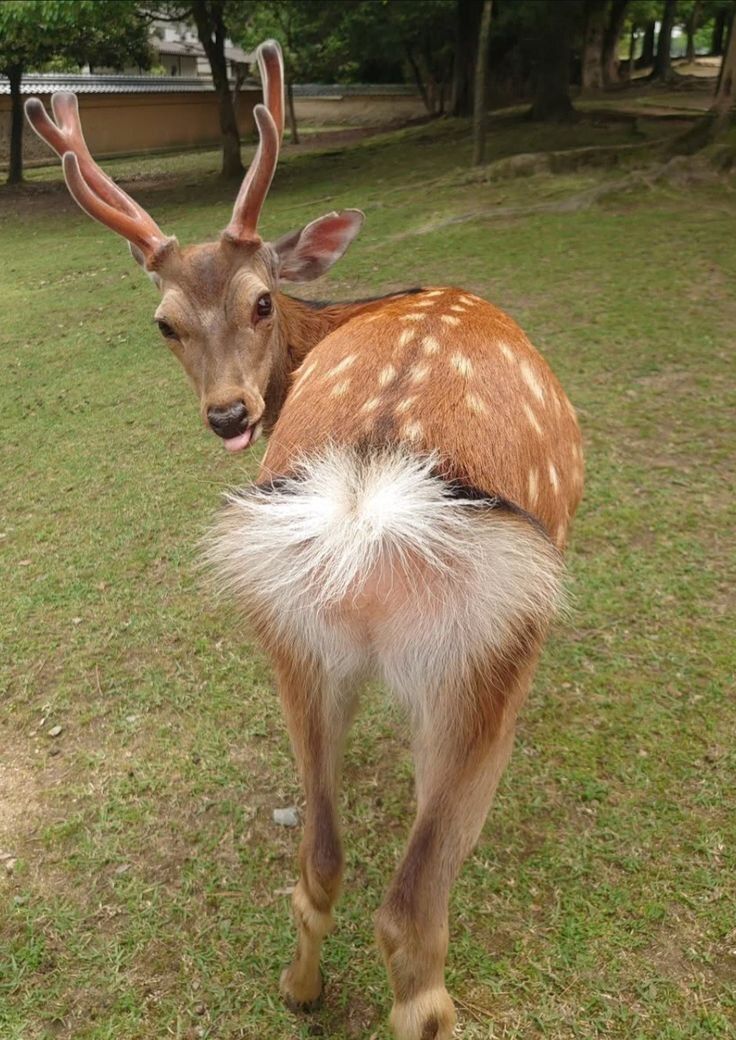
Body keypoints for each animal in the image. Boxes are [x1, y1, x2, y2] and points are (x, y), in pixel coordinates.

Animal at [26, 38, 583, 1040]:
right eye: (165, 324)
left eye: (260, 301)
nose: (228, 414)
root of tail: (366, 495)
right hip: (490, 653)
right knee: (412, 915)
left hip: (289, 633)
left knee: (320, 860)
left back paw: (299, 988)